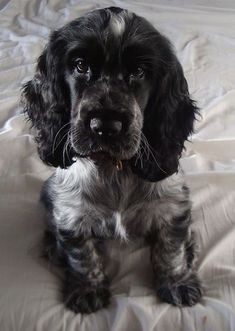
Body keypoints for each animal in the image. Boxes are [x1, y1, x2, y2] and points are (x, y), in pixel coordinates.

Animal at [21, 6, 202, 316]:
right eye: (81, 66)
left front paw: (178, 282)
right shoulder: (71, 213)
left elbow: (172, 249)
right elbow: (83, 255)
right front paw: (87, 289)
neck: (112, 168)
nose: (105, 125)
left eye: (139, 71)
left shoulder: (172, 206)